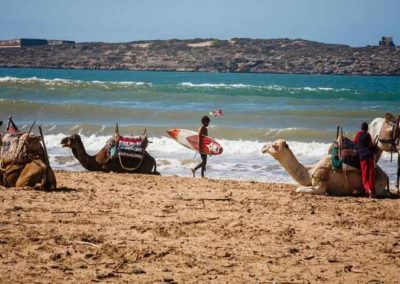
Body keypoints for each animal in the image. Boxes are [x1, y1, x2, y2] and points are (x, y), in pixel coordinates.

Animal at [260, 139, 396, 197]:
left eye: (274, 145)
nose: (263, 147)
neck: (309, 171)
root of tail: (387, 176)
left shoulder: (320, 182)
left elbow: (299, 188)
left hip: (379, 183)